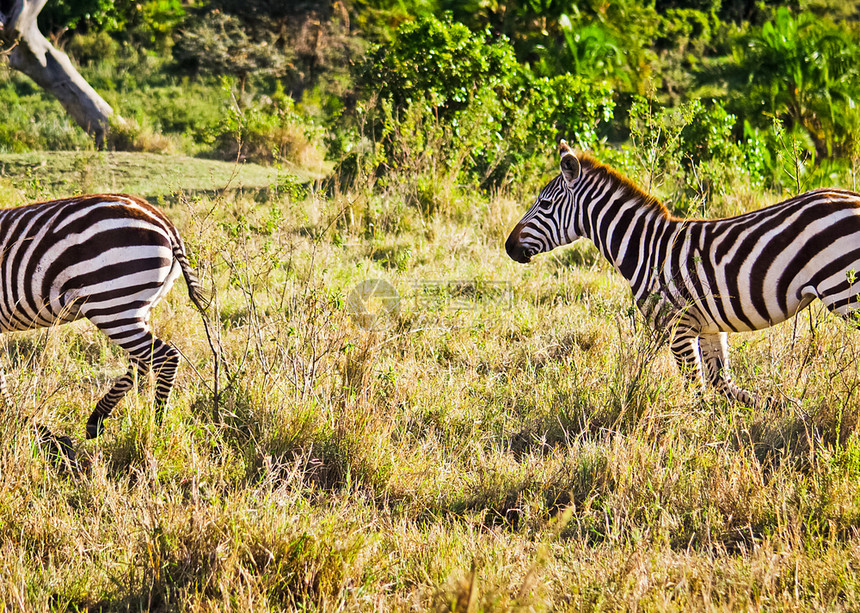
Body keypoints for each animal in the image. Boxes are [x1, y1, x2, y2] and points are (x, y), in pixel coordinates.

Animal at [0, 191, 208, 454]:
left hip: (111, 303)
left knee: (165, 356)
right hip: (136, 306)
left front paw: (25, 426)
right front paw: (28, 426)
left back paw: (157, 426)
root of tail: (160, 218)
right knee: (141, 360)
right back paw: (97, 418)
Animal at [504, 140, 860, 406]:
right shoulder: (710, 327)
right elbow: (723, 385)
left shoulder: (678, 327)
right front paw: (778, 408)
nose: (508, 247)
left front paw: (691, 441)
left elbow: (697, 392)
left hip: (845, 291)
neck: (646, 249)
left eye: (544, 205)